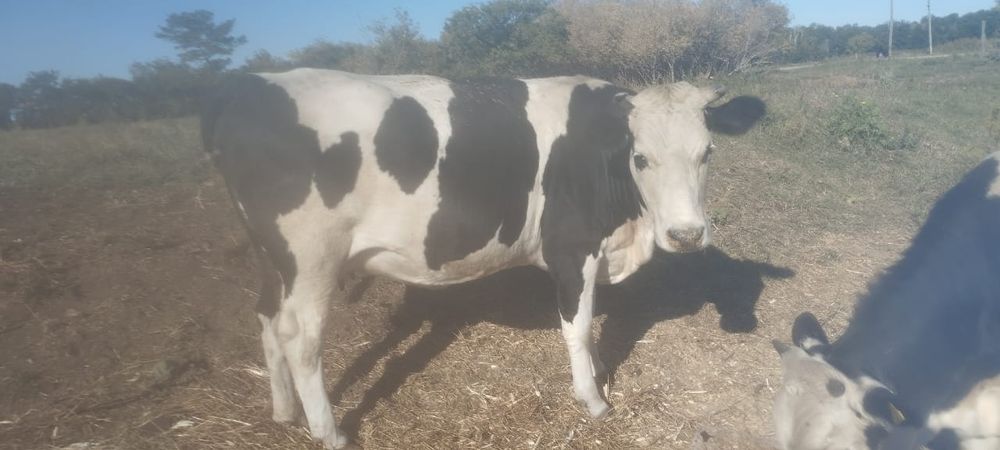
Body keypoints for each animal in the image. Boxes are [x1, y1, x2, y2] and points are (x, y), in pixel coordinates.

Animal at [201, 68, 765, 449]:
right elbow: (578, 325)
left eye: (708, 152)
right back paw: (329, 430)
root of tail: (248, 87)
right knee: (301, 338)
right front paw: (592, 397)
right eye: (641, 157)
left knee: (267, 319)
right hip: (311, 259)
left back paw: (284, 411)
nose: (686, 234)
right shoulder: (570, 248)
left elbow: (589, 323)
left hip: (271, 258)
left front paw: (601, 368)